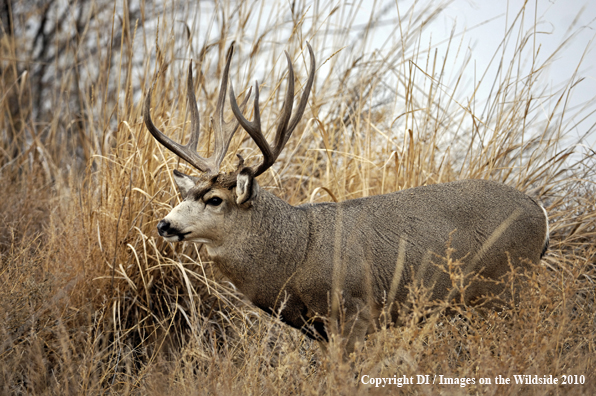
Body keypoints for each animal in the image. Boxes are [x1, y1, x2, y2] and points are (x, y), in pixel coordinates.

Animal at [143, 43, 548, 356]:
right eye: (186, 192)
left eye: (214, 199)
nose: (164, 224)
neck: (296, 251)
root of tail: (541, 213)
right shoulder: (319, 328)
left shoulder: (354, 311)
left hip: (507, 287)